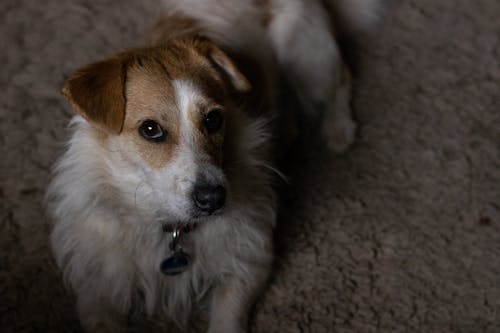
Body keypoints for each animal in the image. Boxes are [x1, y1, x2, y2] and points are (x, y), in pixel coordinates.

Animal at [47, 1, 378, 330]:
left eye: (214, 119)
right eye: (150, 129)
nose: (214, 198)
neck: (170, 226)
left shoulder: (246, 260)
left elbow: (226, 320)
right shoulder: (96, 284)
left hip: (307, 57)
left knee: (341, 79)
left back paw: (339, 128)